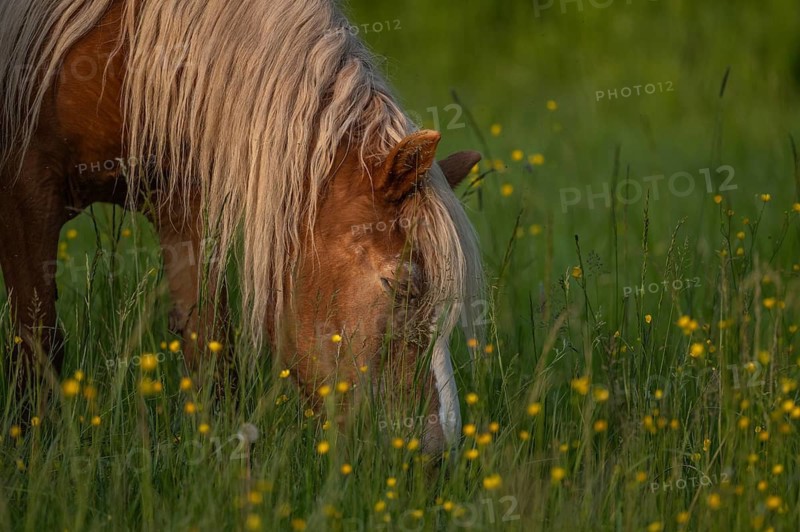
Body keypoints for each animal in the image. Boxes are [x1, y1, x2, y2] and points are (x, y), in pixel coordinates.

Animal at [0, 0, 484, 454]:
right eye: (399, 285)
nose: (436, 452)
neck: (121, 50)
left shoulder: (182, 210)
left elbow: (211, 348)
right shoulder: (26, 195)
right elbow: (39, 342)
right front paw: (33, 455)